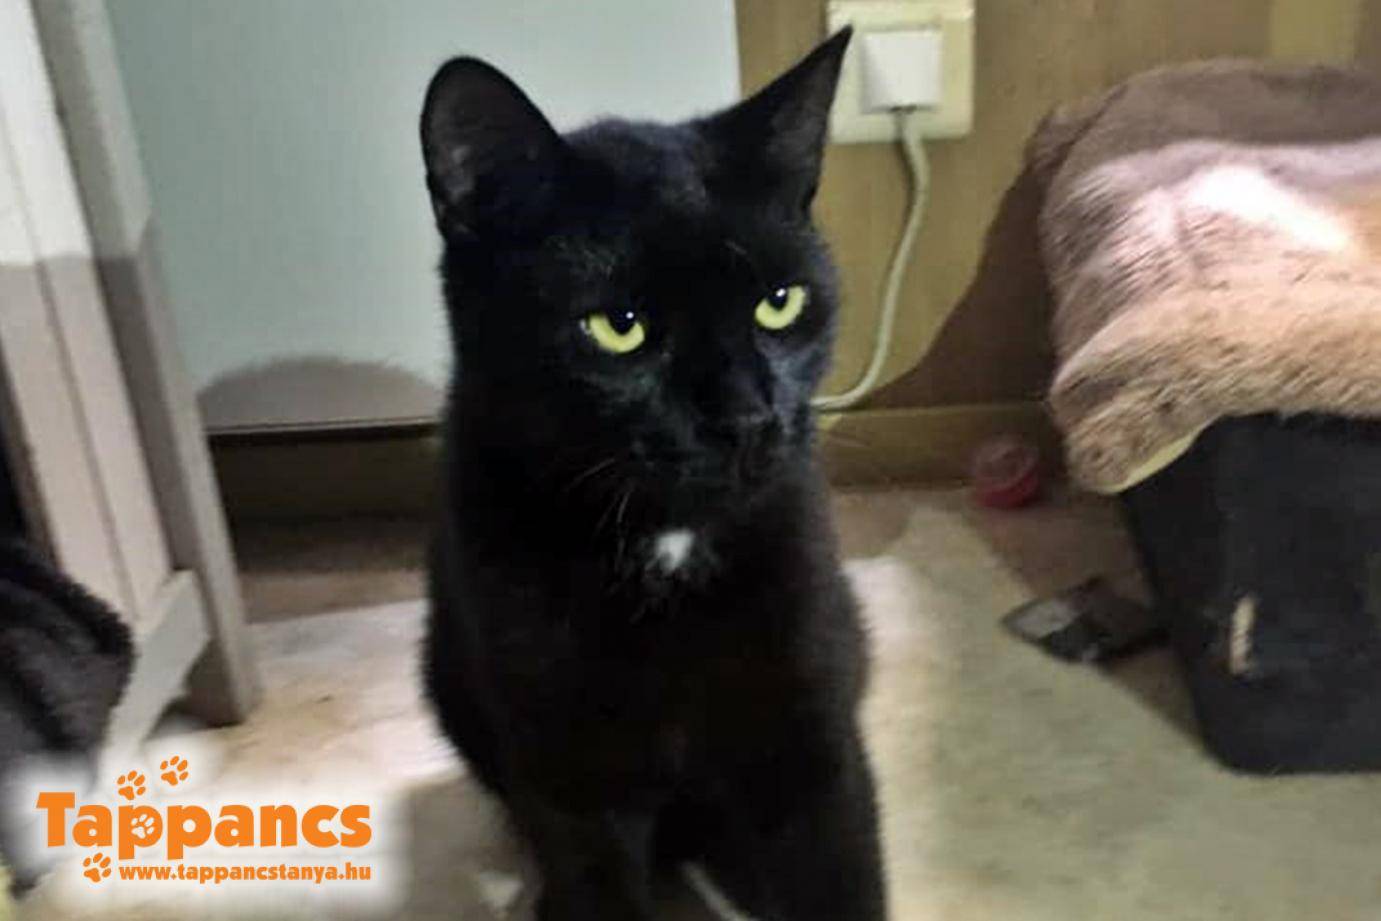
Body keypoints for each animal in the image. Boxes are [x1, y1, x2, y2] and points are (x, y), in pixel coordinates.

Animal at [420, 28, 885, 921]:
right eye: (618, 326)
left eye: (779, 303)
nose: (746, 417)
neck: (667, 540)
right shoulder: (572, 772)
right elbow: (595, 878)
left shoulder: (807, 735)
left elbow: (839, 875)